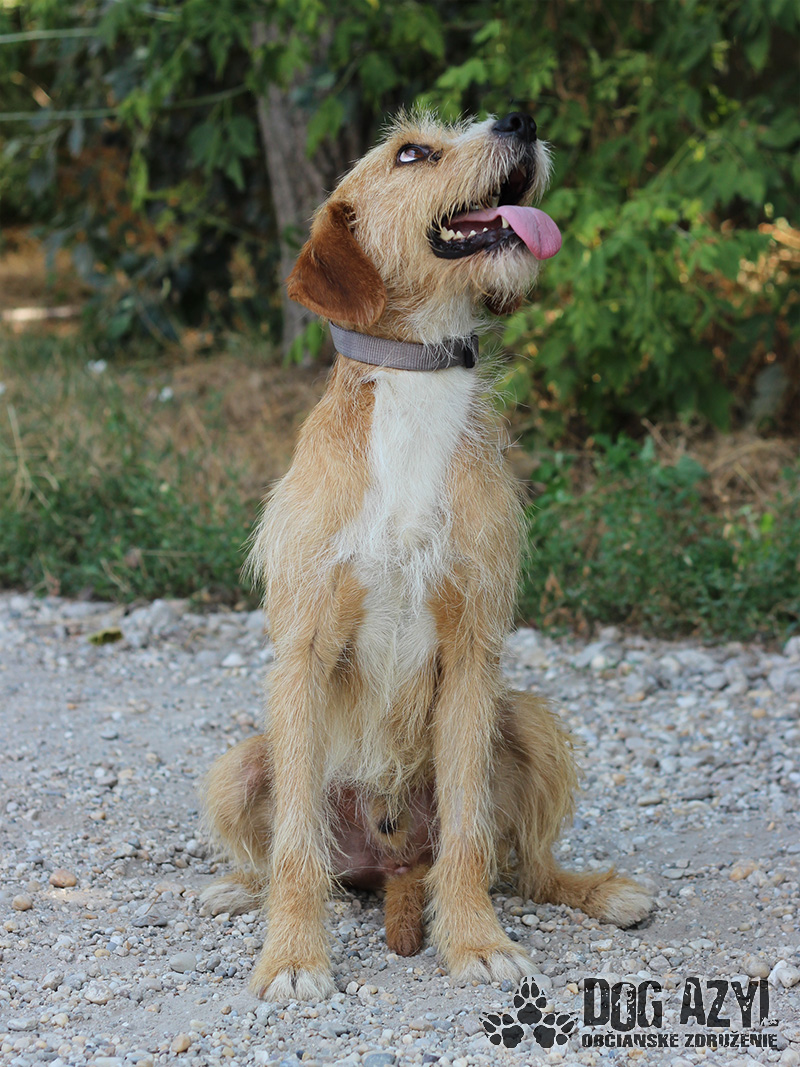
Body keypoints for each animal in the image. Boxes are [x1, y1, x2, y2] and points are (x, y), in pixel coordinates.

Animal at [201, 111, 652, 1001]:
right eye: (412, 151)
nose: (522, 119)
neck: (417, 384)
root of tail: (389, 861)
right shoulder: (304, 649)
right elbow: (297, 847)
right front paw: (293, 955)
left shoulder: (474, 645)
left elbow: (472, 836)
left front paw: (474, 939)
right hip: (241, 764)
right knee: (292, 850)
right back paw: (240, 889)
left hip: (530, 721)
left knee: (524, 862)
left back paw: (597, 889)